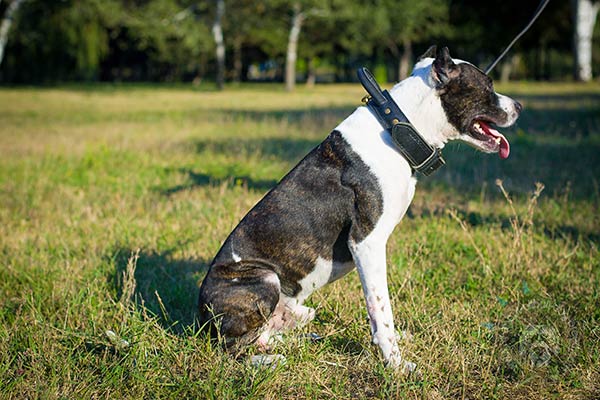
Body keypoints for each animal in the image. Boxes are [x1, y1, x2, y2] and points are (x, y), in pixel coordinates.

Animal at [197, 46, 520, 372]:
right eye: (488, 86)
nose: (518, 105)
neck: (398, 127)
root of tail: (201, 317)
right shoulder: (366, 242)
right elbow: (381, 308)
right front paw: (395, 364)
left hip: (291, 306)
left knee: (268, 332)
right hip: (264, 279)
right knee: (231, 348)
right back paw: (268, 360)